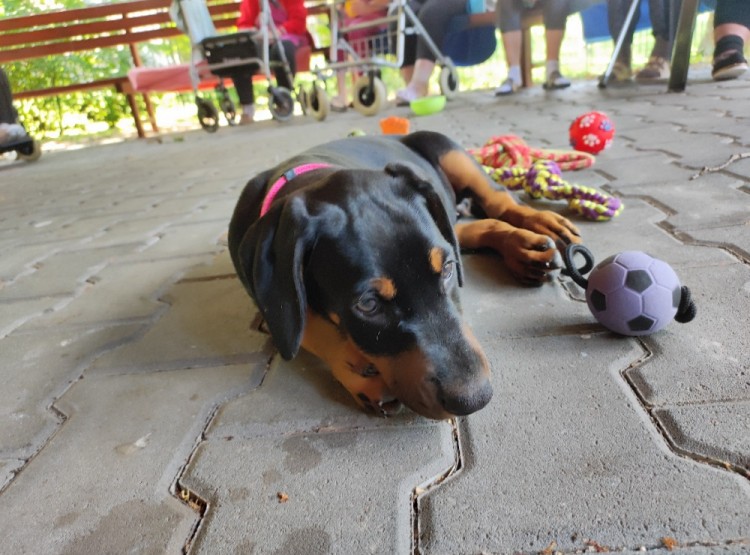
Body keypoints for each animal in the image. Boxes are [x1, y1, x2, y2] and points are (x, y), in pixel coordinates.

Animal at [229, 132, 580, 420]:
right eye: (368, 304)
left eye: (448, 270)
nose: (474, 399)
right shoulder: (267, 305)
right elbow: (303, 326)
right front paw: (357, 369)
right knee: (468, 226)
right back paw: (522, 248)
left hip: (449, 152)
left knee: (497, 199)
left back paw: (537, 231)